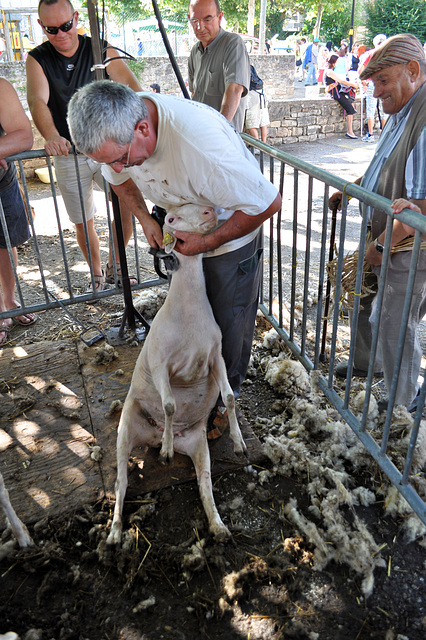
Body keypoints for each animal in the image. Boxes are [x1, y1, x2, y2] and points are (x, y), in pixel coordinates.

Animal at [107, 204, 246, 544]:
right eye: (170, 218)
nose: (209, 211)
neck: (188, 311)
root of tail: (151, 437)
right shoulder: (160, 362)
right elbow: (169, 404)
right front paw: (168, 451)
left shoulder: (215, 357)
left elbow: (230, 397)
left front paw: (238, 442)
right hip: (125, 430)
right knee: (121, 483)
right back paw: (115, 531)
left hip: (198, 444)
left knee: (205, 482)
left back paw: (218, 526)